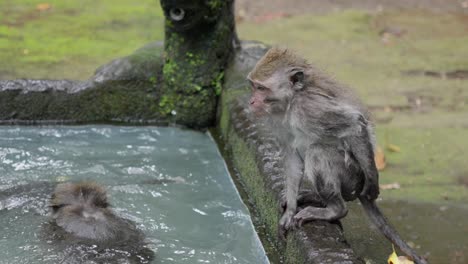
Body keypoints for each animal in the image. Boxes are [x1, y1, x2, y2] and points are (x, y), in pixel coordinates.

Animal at [249, 47, 428, 264]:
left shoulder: (312, 107)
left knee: (318, 151)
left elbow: (355, 125)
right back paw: (315, 197)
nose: (251, 100)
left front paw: (373, 184)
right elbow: (292, 158)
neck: (292, 103)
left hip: (352, 176)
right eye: (253, 86)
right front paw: (290, 212)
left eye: (261, 88)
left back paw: (336, 209)